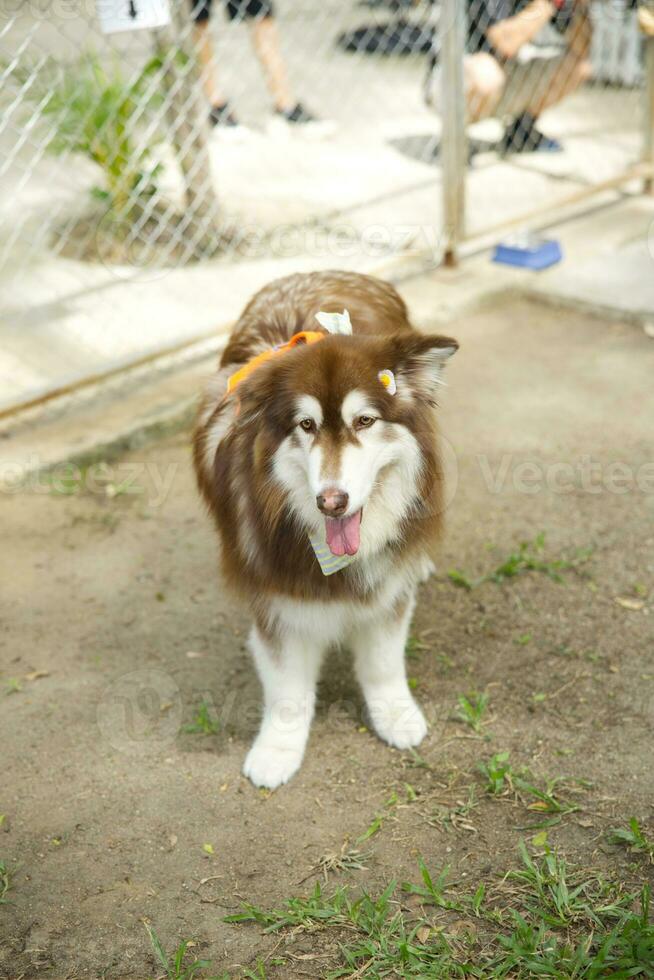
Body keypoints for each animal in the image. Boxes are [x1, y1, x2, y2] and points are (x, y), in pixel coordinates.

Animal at [195, 270, 458, 788]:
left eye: (365, 420)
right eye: (306, 425)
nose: (331, 501)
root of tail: (315, 272)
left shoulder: (385, 593)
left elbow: (383, 662)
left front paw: (395, 714)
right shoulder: (276, 597)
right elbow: (287, 689)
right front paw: (277, 750)